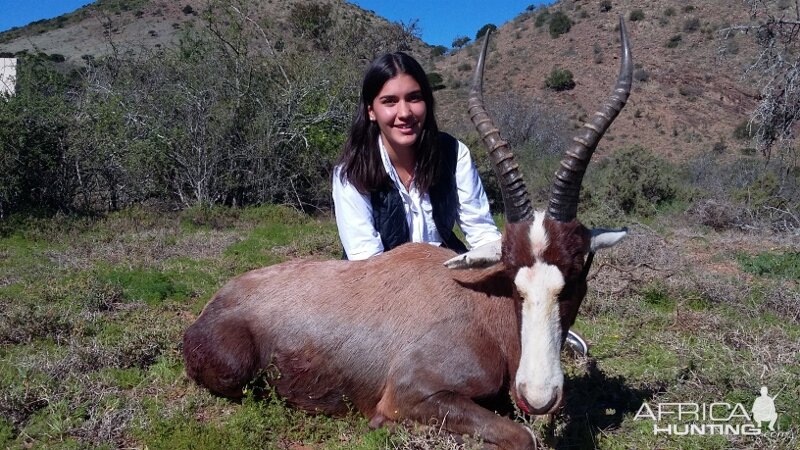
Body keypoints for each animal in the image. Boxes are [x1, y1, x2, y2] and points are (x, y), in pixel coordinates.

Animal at [184, 17, 636, 450]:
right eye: (512, 277)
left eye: (576, 274)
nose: (538, 396)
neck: (478, 306)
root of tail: (215, 304)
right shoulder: (409, 394)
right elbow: (522, 436)